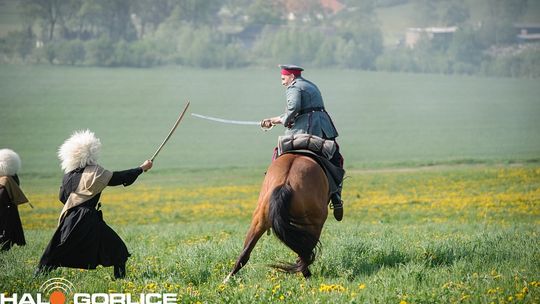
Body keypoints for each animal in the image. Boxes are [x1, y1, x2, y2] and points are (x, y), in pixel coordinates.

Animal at [224, 152, 330, 282]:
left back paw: (227, 280)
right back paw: (307, 276)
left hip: (259, 221)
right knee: (305, 253)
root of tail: (285, 182)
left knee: (244, 253)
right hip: (315, 223)